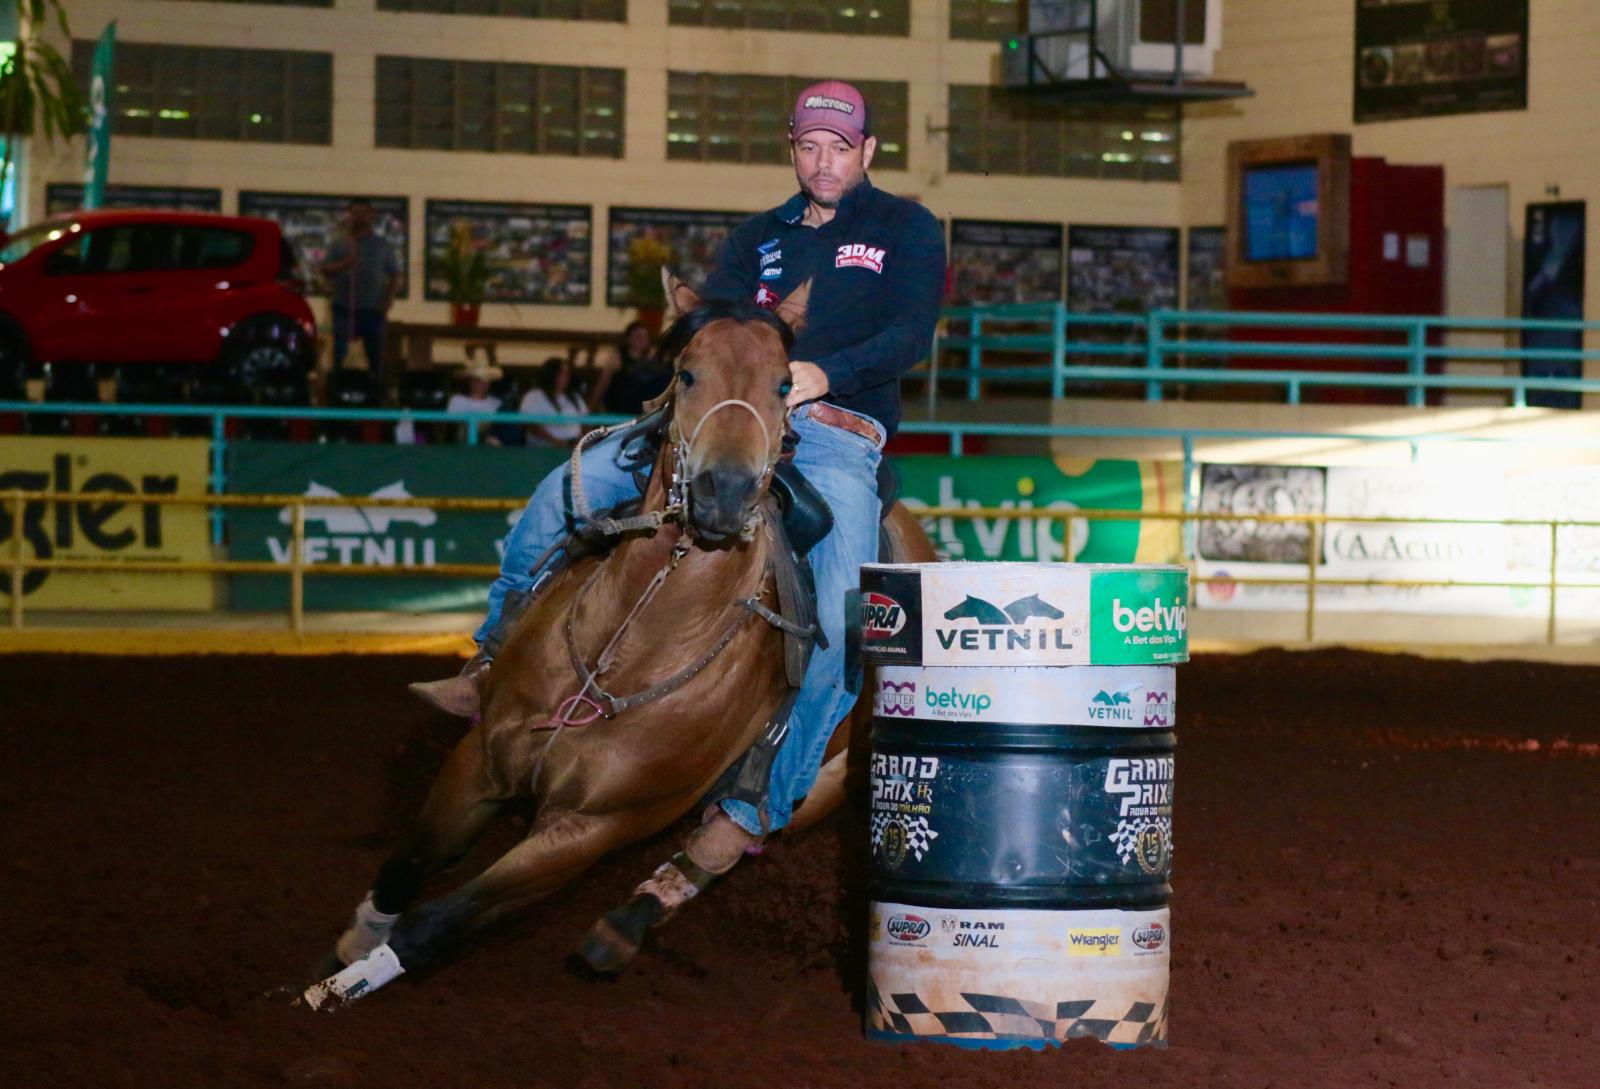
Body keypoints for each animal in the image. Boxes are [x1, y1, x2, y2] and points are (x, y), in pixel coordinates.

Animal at [305, 276, 934, 1004]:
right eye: (685, 373)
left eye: (784, 384)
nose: (723, 493)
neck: (631, 645)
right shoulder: (479, 760)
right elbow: (414, 857)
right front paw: (357, 939)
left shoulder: (589, 829)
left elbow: (437, 922)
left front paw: (346, 983)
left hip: (823, 785)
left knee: (729, 839)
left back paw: (631, 919)